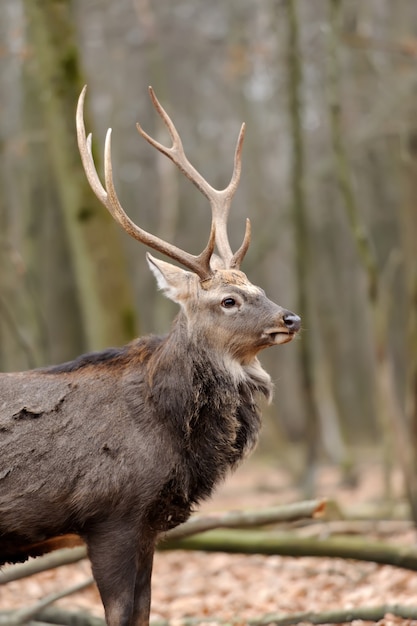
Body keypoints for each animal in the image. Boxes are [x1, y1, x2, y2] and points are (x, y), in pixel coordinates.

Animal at [0, 86, 300, 624]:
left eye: (259, 288)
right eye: (229, 301)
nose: (291, 318)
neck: (165, 425)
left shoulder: (148, 525)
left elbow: (143, 611)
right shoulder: (110, 514)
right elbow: (121, 614)